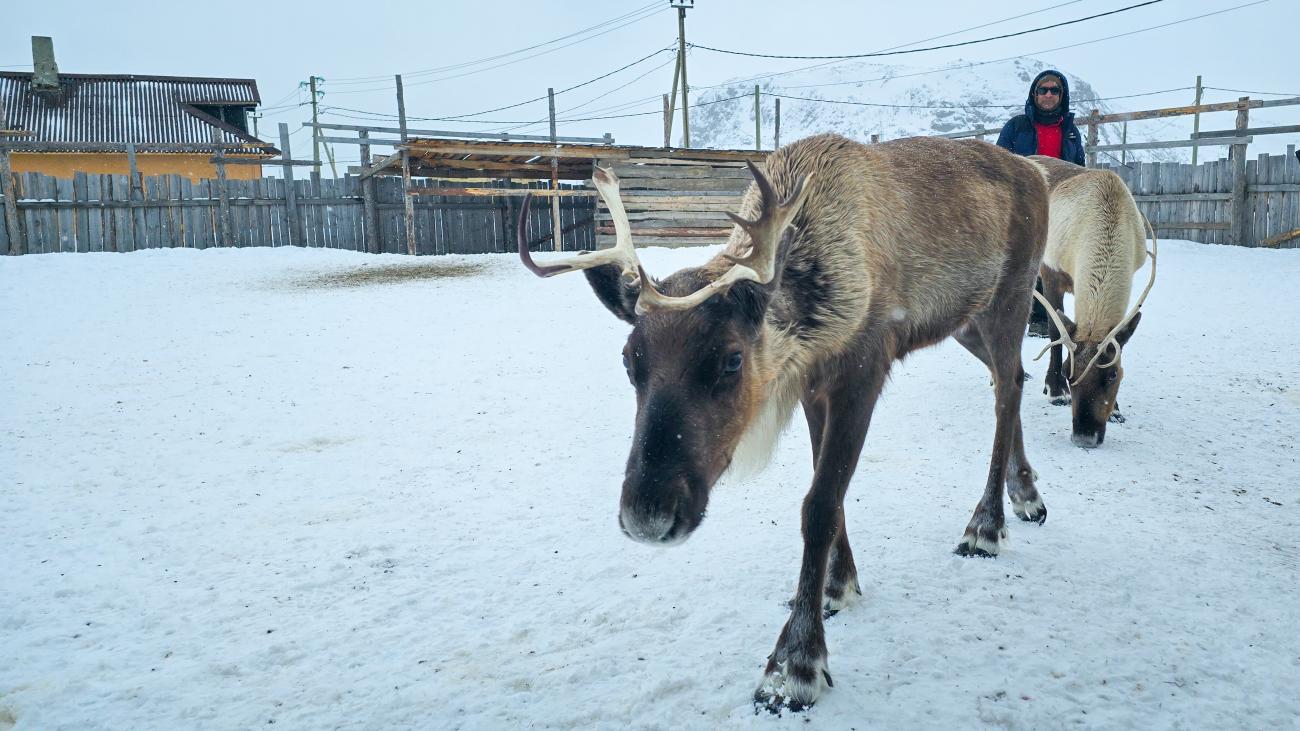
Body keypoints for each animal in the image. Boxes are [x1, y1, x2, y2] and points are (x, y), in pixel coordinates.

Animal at [518, 134, 1050, 711]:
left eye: (731, 359)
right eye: (628, 359)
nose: (647, 515)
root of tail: (1037, 173)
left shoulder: (863, 371)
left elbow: (819, 505)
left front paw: (795, 662)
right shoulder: (814, 386)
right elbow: (830, 495)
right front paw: (838, 585)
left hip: (1012, 296)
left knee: (1007, 389)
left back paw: (985, 525)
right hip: (965, 322)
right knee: (1009, 380)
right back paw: (1025, 494)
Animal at [1029, 156, 1157, 448]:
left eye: (1113, 375)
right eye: (1067, 372)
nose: (1084, 436)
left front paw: (1117, 410)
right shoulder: (1051, 272)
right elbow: (1055, 331)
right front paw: (1055, 391)